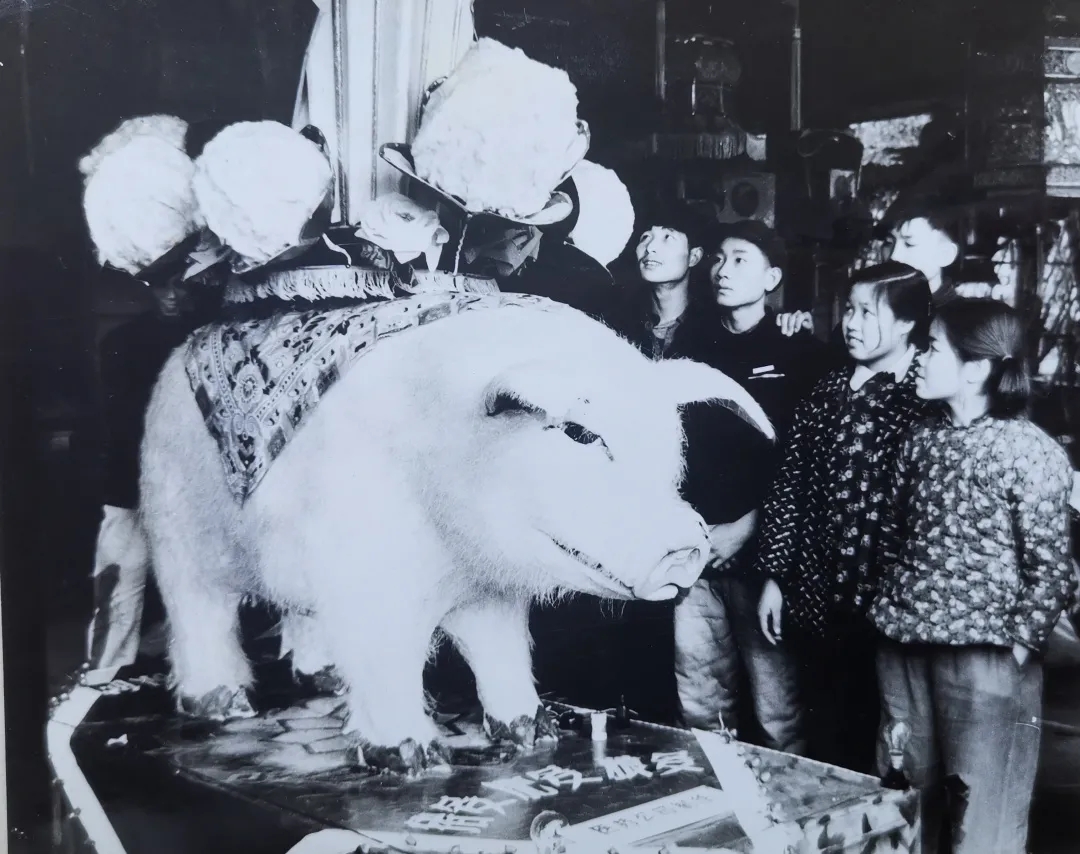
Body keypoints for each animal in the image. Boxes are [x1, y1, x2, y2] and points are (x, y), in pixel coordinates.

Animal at [139, 298, 773, 773]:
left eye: (669, 447)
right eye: (578, 433)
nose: (687, 545)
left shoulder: (490, 593)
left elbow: (501, 651)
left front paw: (534, 734)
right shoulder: (368, 579)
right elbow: (388, 657)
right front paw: (413, 759)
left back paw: (321, 678)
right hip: (173, 531)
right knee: (198, 612)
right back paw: (223, 706)